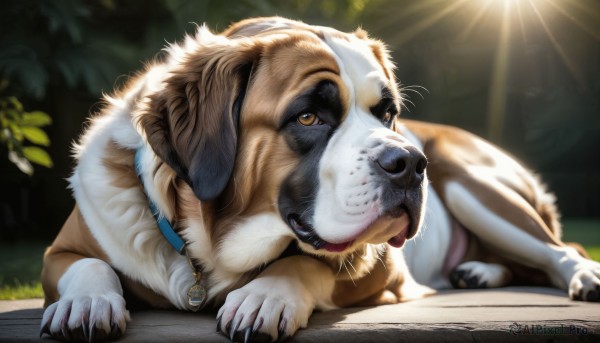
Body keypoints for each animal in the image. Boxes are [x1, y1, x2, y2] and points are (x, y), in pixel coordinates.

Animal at [39, 16, 596, 343]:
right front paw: (85, 304)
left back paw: (578, 276)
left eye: (387, 113)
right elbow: (87, 264)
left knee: (560, 250)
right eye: (309, 118)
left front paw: (266, 295)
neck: (206, 247)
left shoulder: (384, 269)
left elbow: (309, 263)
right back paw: (479, 272)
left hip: (474, 186)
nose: (410, 162)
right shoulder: (60, 250)